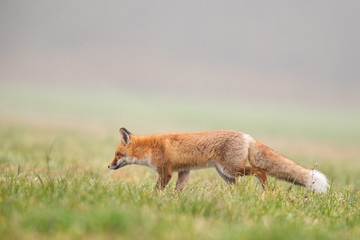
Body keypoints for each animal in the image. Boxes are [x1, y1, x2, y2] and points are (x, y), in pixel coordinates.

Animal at [107, 127, 330, 193]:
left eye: (117, 154)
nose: (109, 165)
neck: (151, 148)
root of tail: (246, 135)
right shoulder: (184, 172)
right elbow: (178, 190)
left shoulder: (166, 172)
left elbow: (157, 190)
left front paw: (154, 199)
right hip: (226, 175)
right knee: (240, 186)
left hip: (232, 169)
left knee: (260, 170)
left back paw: (266, 192)